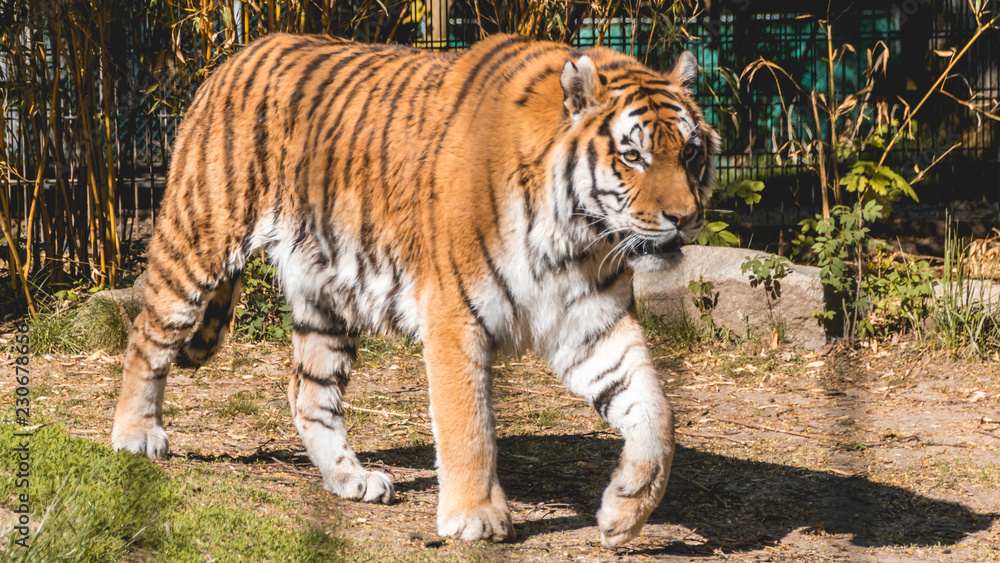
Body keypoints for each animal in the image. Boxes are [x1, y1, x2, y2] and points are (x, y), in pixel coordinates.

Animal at [110, 32, 719, 547]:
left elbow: (656, 413)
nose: (685, 218)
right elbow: (467, 423)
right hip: (198, 241)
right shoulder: (454, 312)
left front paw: (625, 511)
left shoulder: (591, 322)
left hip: (327, 295)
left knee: (308, 392)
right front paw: (475, 515)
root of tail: (238, 54)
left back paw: (351, 479)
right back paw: (135, 435)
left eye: (690, 153)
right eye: (632, 156)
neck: (577, 238)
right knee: (146, 336)